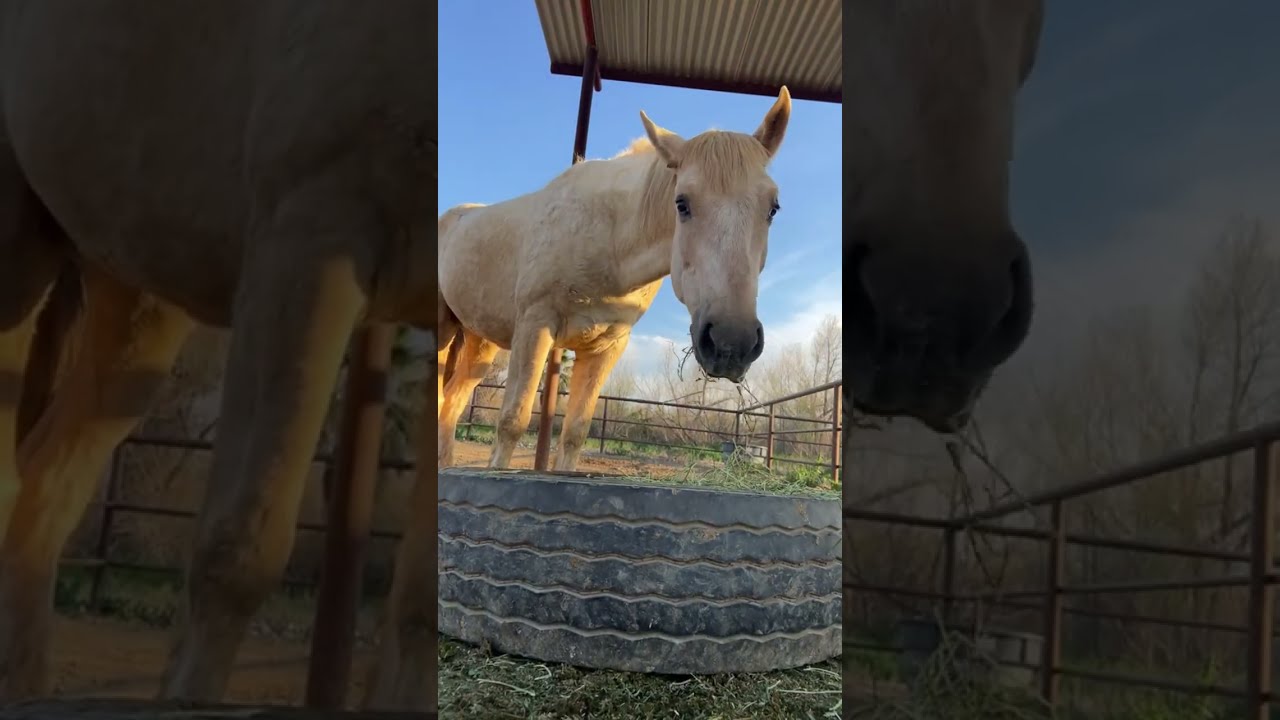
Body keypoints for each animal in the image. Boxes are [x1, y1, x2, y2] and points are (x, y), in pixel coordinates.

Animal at [436, 89, 791, 472]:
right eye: (681, 203)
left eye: (773, 208)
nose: (731, 343)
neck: (608, 240)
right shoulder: (535, 326)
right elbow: (511, 423)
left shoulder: (607, 346)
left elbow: (574, 433)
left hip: (479, 342)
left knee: (451, 403)